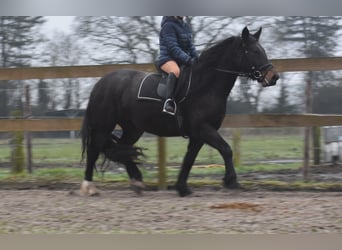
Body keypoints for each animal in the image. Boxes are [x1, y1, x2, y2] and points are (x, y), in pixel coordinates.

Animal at [81, 26, 280, 196]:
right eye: (254, 51)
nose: (274, 77)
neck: (206, 86)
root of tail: (101, 83)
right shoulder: (203, 129)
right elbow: (226, 149)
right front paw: (231, 181)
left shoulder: (199, 135)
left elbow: (189, 159)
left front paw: (182, 188)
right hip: (103, 126)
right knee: (95, 150)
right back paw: (89, 187)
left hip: (133, 128)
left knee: (120, 149)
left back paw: (137, 181)